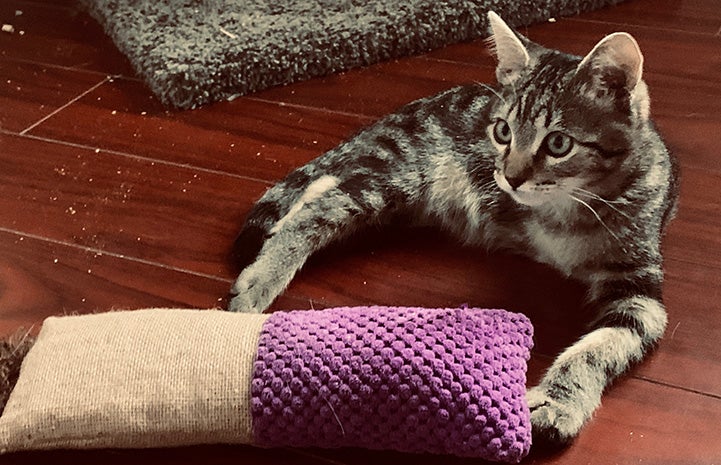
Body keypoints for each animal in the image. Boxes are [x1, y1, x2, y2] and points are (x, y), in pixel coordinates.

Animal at [228, 11, 676, 446]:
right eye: (502, 131)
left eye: (558, 144)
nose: (510, 178)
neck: (566, 208)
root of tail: (406, 111)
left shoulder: (639, 288)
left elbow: (597, 350)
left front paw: (557, 403)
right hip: (399, 175)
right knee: (323, 204)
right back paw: (261, 277)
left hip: (400, 201)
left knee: (324, 186)